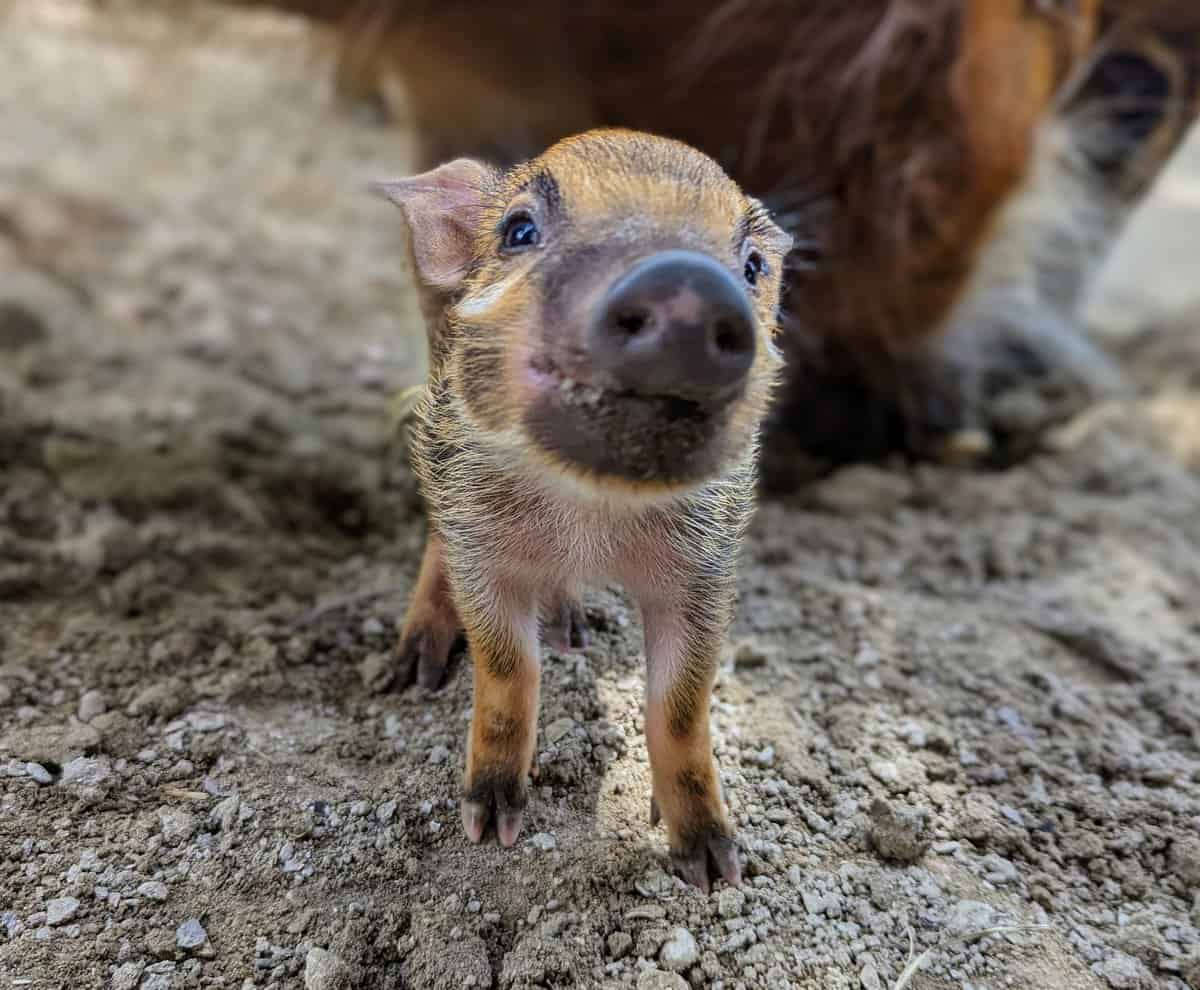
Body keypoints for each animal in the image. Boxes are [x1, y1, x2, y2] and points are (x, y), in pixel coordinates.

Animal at [374, 128, 793, 890]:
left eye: (752, 267)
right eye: (519, 230)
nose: (686, 286)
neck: (590, 518)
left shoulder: (705, 572)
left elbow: (681, 706)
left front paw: (715, 869)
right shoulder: (480, 543)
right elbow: (508, 672)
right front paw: (489, 830)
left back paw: (571, 632)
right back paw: (411, 671)